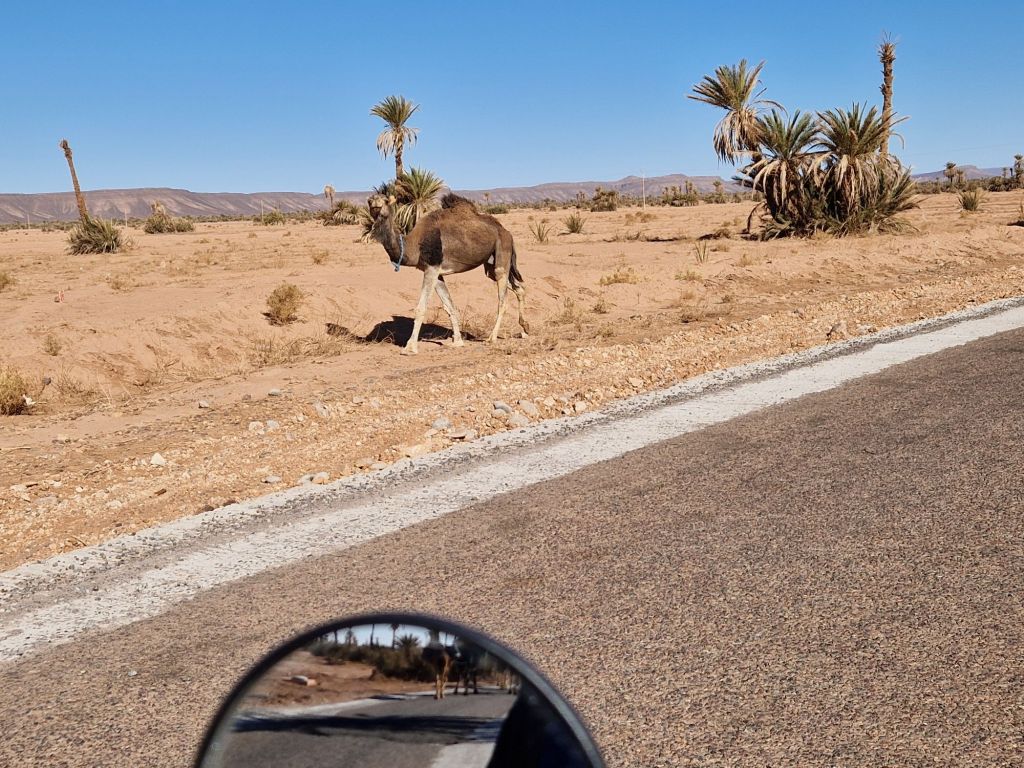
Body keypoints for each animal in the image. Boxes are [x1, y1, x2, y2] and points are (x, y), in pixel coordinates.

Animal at [367, 193, 530, 355]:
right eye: (369, 201)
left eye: (385, 200)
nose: (374, 203)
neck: (414, 245)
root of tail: (507, 232)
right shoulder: (436, 272)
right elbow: (449, 306)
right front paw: (457, 342)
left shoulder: (432, 268)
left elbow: (421, 308)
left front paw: (410, 347)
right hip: (491, 264)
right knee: (518, 287)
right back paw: (525, 328)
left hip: (502, 251)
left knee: (502, 300)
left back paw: (492, 338)